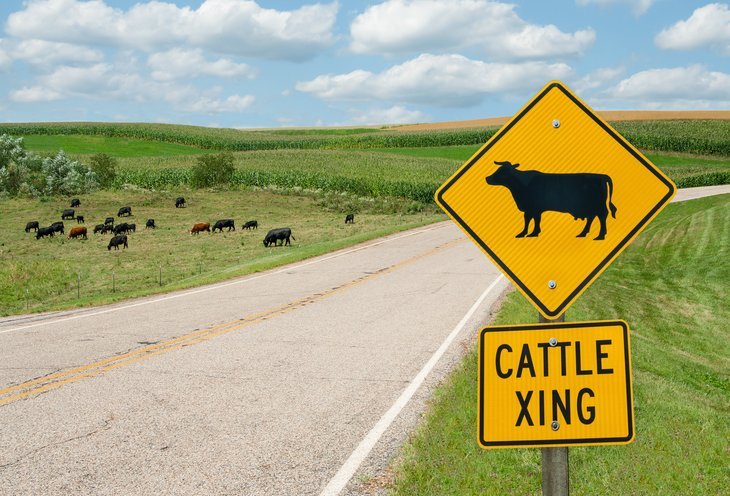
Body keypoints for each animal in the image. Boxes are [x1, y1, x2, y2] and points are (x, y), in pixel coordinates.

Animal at [484, 161, 616, 240]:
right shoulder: (530, 209)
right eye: (498, 169)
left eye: (502, 172)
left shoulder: (533, 208)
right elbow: (530, 220)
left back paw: (600, 235)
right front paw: (526, 233)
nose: (487, 178)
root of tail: (601, 176)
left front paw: (532, 233)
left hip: (598, 205)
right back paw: (583, 233)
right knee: (591, 218)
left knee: (602, 216)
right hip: (590, 207)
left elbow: (533, 220)